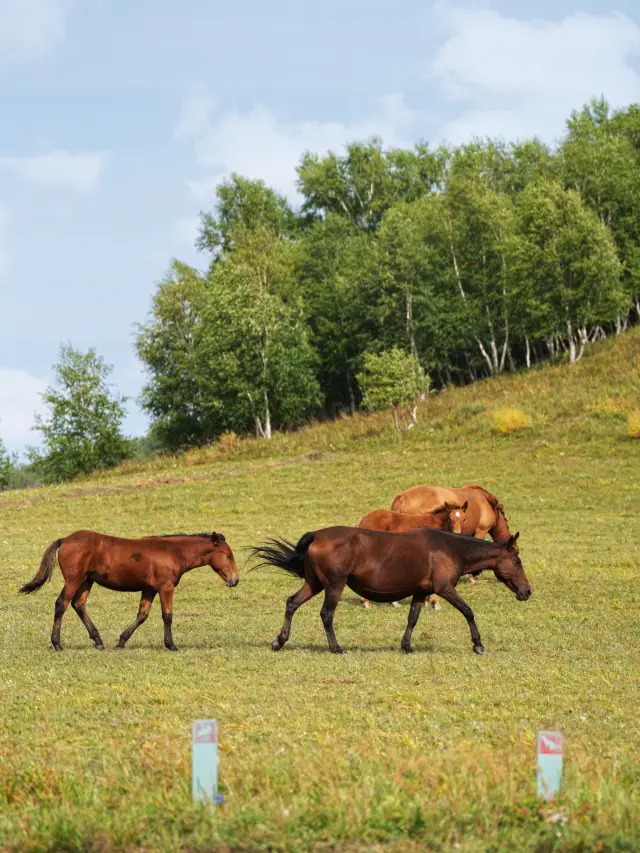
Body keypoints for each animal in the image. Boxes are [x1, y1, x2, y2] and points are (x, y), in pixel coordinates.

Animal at [21, 524, 240, 652]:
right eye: (228, 555)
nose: (235, 580)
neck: (174, 552)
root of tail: (65, 539)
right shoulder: (166, 587)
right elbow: (167, 615)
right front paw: (171, 645)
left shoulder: (149, 589)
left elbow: (142, 615)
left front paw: (121, 642)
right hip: (74, 579)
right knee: (61, 604)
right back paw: (57, 644)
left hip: (86, 581)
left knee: (78, 604)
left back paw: (98, 641)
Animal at [250, 524, 528, 660]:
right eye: (517, 561)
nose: (527, 592)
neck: (450, 549)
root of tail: (317, 536)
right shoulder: (445, 588)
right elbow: (468, 611)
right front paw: (478, 645)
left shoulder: (420, 592)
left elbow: (412, 619)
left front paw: (407, 646)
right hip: (334, 586)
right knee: (326, 615)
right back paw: (336, 648)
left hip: (314, 584)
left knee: (291, 603)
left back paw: (279, 641)